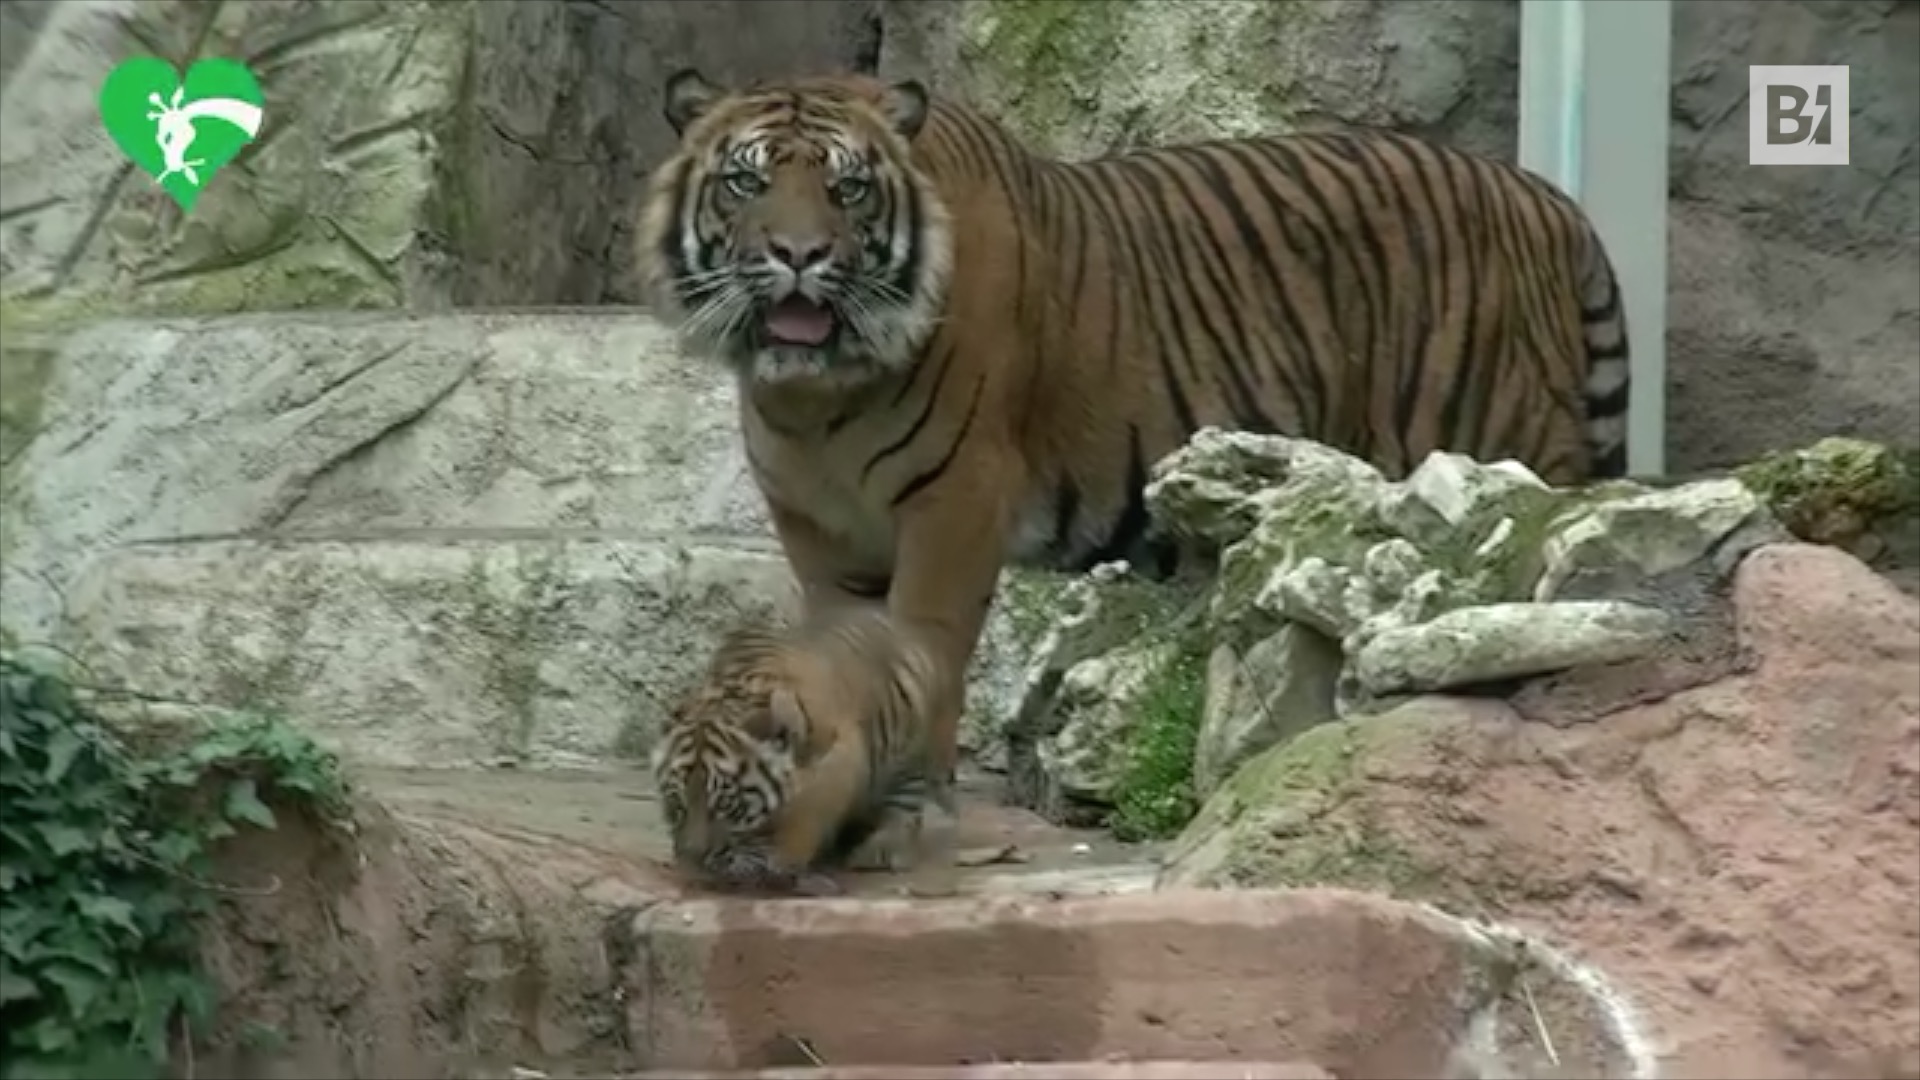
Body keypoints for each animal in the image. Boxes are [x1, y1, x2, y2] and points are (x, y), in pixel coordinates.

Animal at [635, 67, 1635, 796]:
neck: (819, 397)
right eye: (746, 181)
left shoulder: (955, 504)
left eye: (848, 189)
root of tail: (1549, 200)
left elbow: (922, 647)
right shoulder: (819, 531)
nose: (799, 256)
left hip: (1493, 440)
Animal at [650, 602, 955, 894]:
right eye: (676, 804)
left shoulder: (839, 759)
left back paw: (882, 847)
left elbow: (807, 815)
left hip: (912, 747)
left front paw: (782, 860)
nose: (694, 860)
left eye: (727, 804)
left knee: (906, 802)